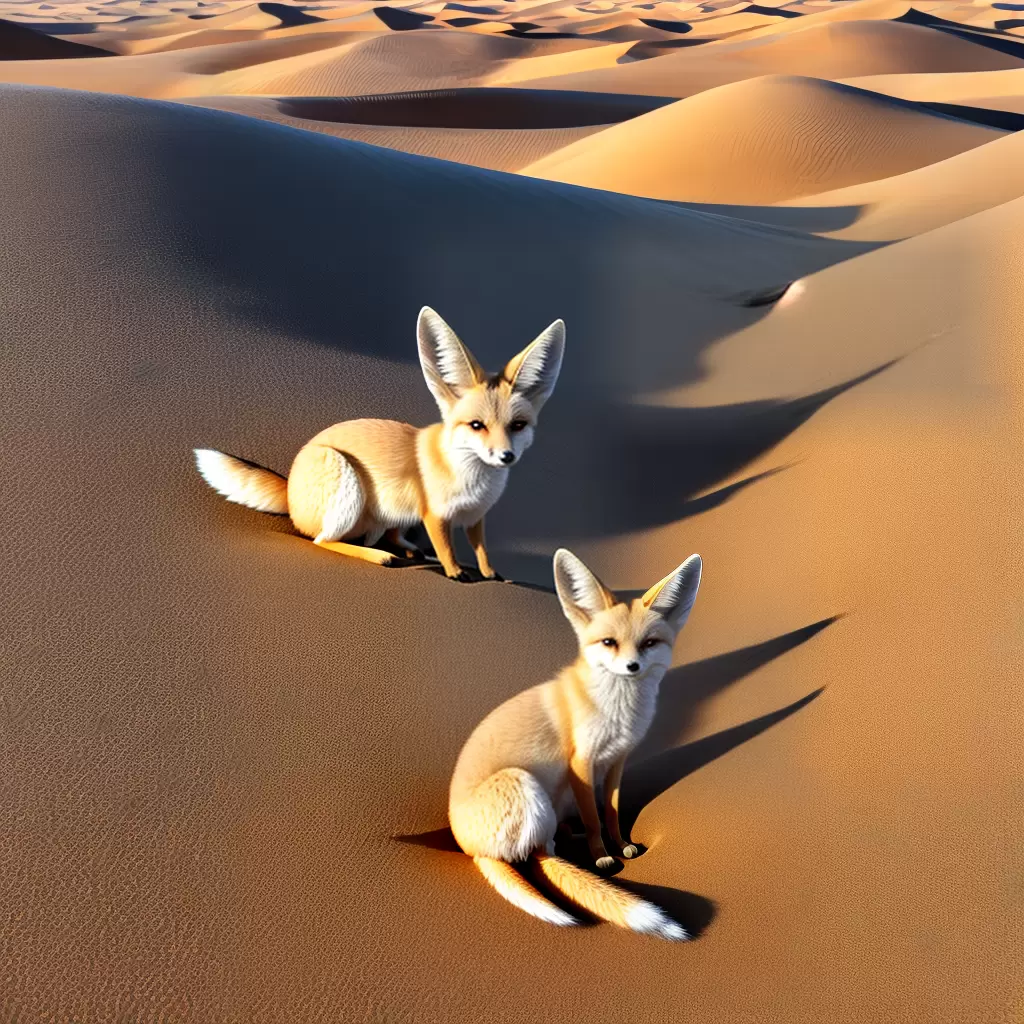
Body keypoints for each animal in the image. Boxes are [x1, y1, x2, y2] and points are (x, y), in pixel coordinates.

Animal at [193, 307, 564, 581]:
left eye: (517, 426)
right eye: (477, 426)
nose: (506, 456)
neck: (473, 478)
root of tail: (290, 491)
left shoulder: (476, 517)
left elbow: (481, 548)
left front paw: (490, 573)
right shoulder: (434, 514)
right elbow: (447, 547)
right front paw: (456, 572)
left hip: (390, 510)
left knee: (385, 533)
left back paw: (407, 549)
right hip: (347, 484)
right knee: (323, 541)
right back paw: (380, 556)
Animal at [448, 547, 702, 939]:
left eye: (649, 644)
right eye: (609, 643)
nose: (632, 666)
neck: (619, 713)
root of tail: (468, 847)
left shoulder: (617, 761)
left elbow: (611, 811)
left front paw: (622, 845)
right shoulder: (580, 764)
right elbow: (595, 818)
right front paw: (601, 856)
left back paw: (571, 834)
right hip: (524, 784)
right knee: (539, 853)